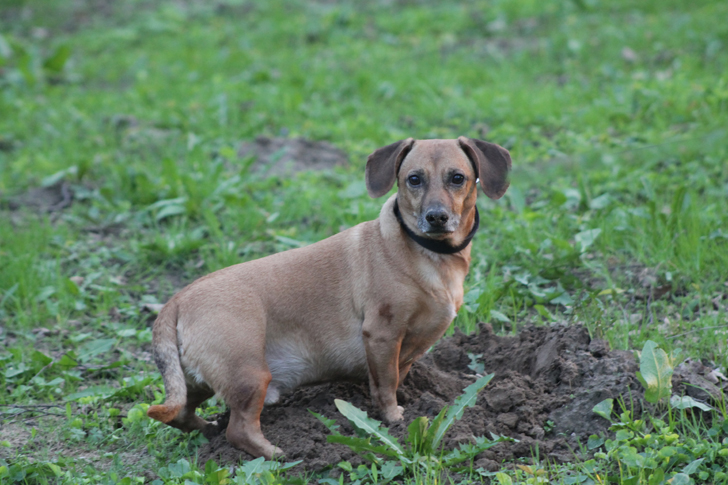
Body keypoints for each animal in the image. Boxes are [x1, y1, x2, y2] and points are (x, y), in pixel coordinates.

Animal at [146, 136, 512, 458]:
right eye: (414, 179)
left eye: (457, 178)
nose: (436, 217)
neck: (427, 253)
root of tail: (177, 302)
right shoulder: (382, 335)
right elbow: (386, 383)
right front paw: (393, 419)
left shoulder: (405, 348)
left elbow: (396, 374)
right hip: (250, 376)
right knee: (239, 430)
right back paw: (275, 453)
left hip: (198, 382)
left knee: (182, 415)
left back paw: (209, 430)